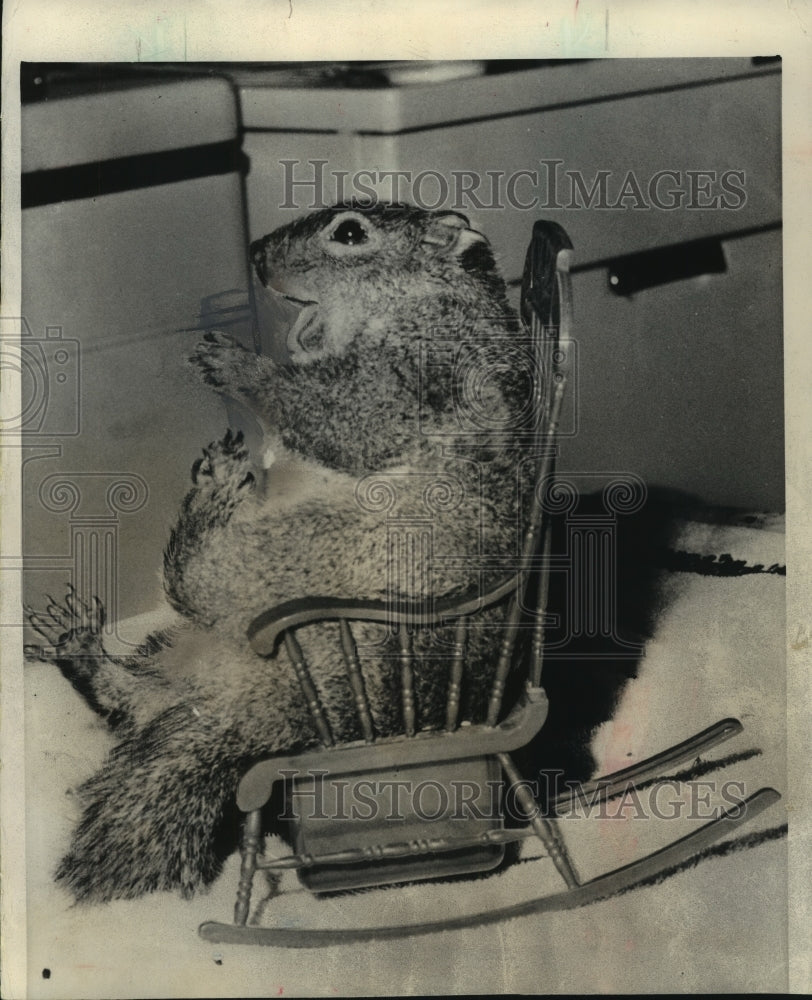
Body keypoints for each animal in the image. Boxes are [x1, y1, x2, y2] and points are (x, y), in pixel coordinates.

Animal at [25, 203, 537, 903]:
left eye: (349, 233)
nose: (256, 254)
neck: (433, 302)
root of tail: (261, 720)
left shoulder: (420, 373)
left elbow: (342, 414)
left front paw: (235, 362)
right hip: (180, 651)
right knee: (131, 701)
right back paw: (83, 643)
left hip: (287, 553)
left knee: (190, 582)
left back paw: (212, 497)